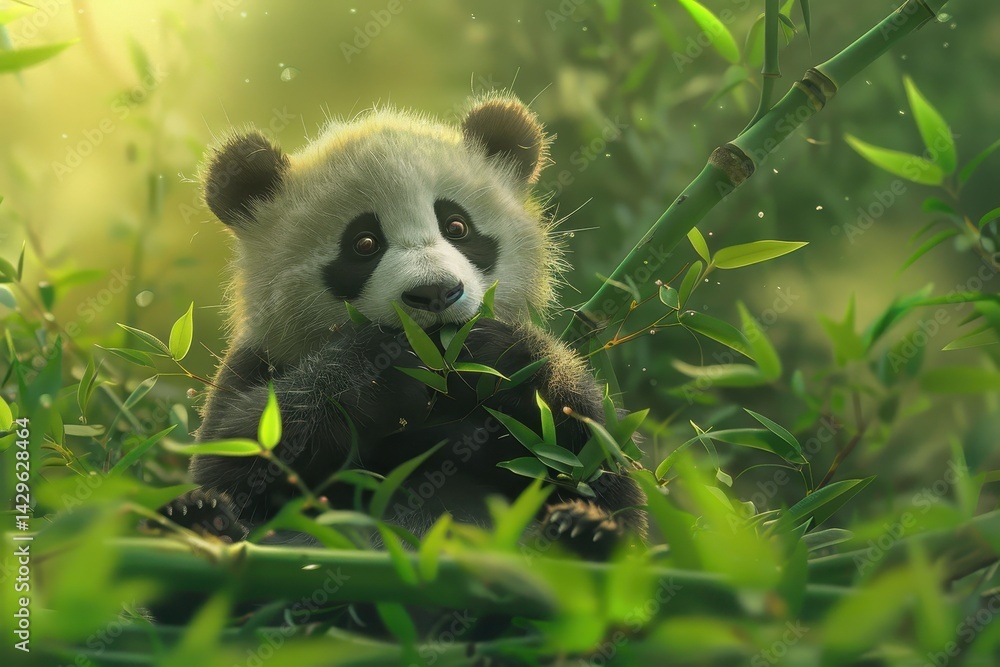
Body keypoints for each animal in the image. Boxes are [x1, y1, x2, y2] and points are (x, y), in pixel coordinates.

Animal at [160, 94, 646, 559]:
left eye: (457, 226)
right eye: (364, 244)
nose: (435, 293)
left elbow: (595, 457)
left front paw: (498, 354)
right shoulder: (257, 363)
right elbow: (240, 453)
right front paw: (379, 368)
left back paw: (582, 534)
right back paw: (199, 520)